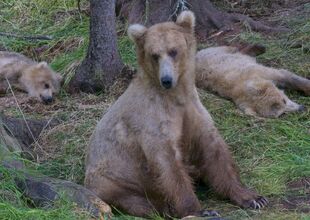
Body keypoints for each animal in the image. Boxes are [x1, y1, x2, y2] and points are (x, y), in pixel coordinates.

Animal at [83, 10, 268, 218]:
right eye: (154, 55)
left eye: (173, 51)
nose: (166, 79)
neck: (175, 96)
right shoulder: (153, 119)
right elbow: (168, 164)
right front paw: (201, 210)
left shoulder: (193, 111)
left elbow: (214, 150)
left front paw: (253, 197)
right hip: (115, 180)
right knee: (137, 200)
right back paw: (164, 207)